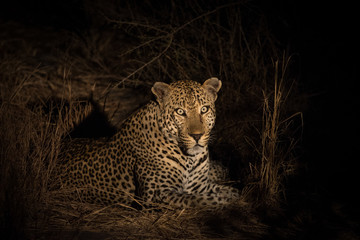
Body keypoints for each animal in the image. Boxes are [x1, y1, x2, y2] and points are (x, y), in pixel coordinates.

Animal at [59, 78, 239, 209]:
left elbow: (227, 190)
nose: (197, 135)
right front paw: (230, 203)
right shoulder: (156, 195)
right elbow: (199, 200)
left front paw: (234, 195)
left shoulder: (199, 186)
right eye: (180, 112)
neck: (189, 157)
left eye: (204, 109)